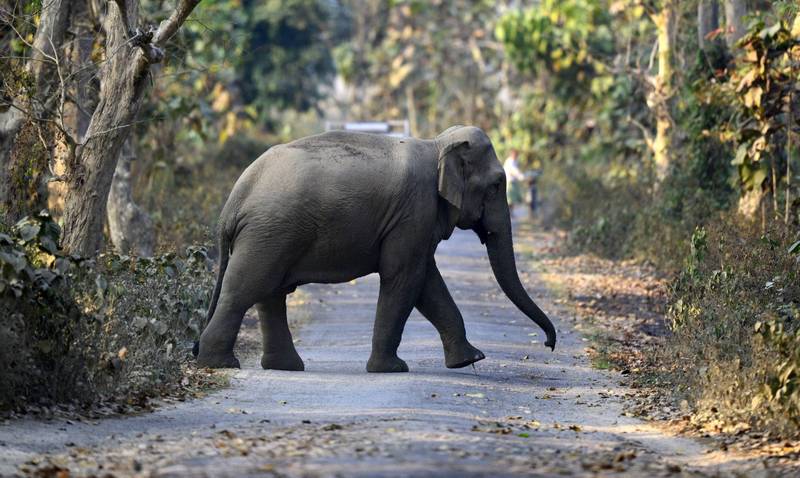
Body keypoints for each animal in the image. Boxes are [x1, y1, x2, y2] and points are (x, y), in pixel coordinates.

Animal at [194, 125, 556, 372]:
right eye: (496, 185)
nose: (549, 344)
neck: (438, 144)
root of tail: (235, 198)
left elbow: (427, 282)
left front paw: (469, 360)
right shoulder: (414, 211)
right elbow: (405, 277)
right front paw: (392, 369)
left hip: (271, 234)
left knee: (270, 295)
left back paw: (284, 366)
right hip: (270, 232)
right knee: (246, 289)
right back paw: (220, 363)